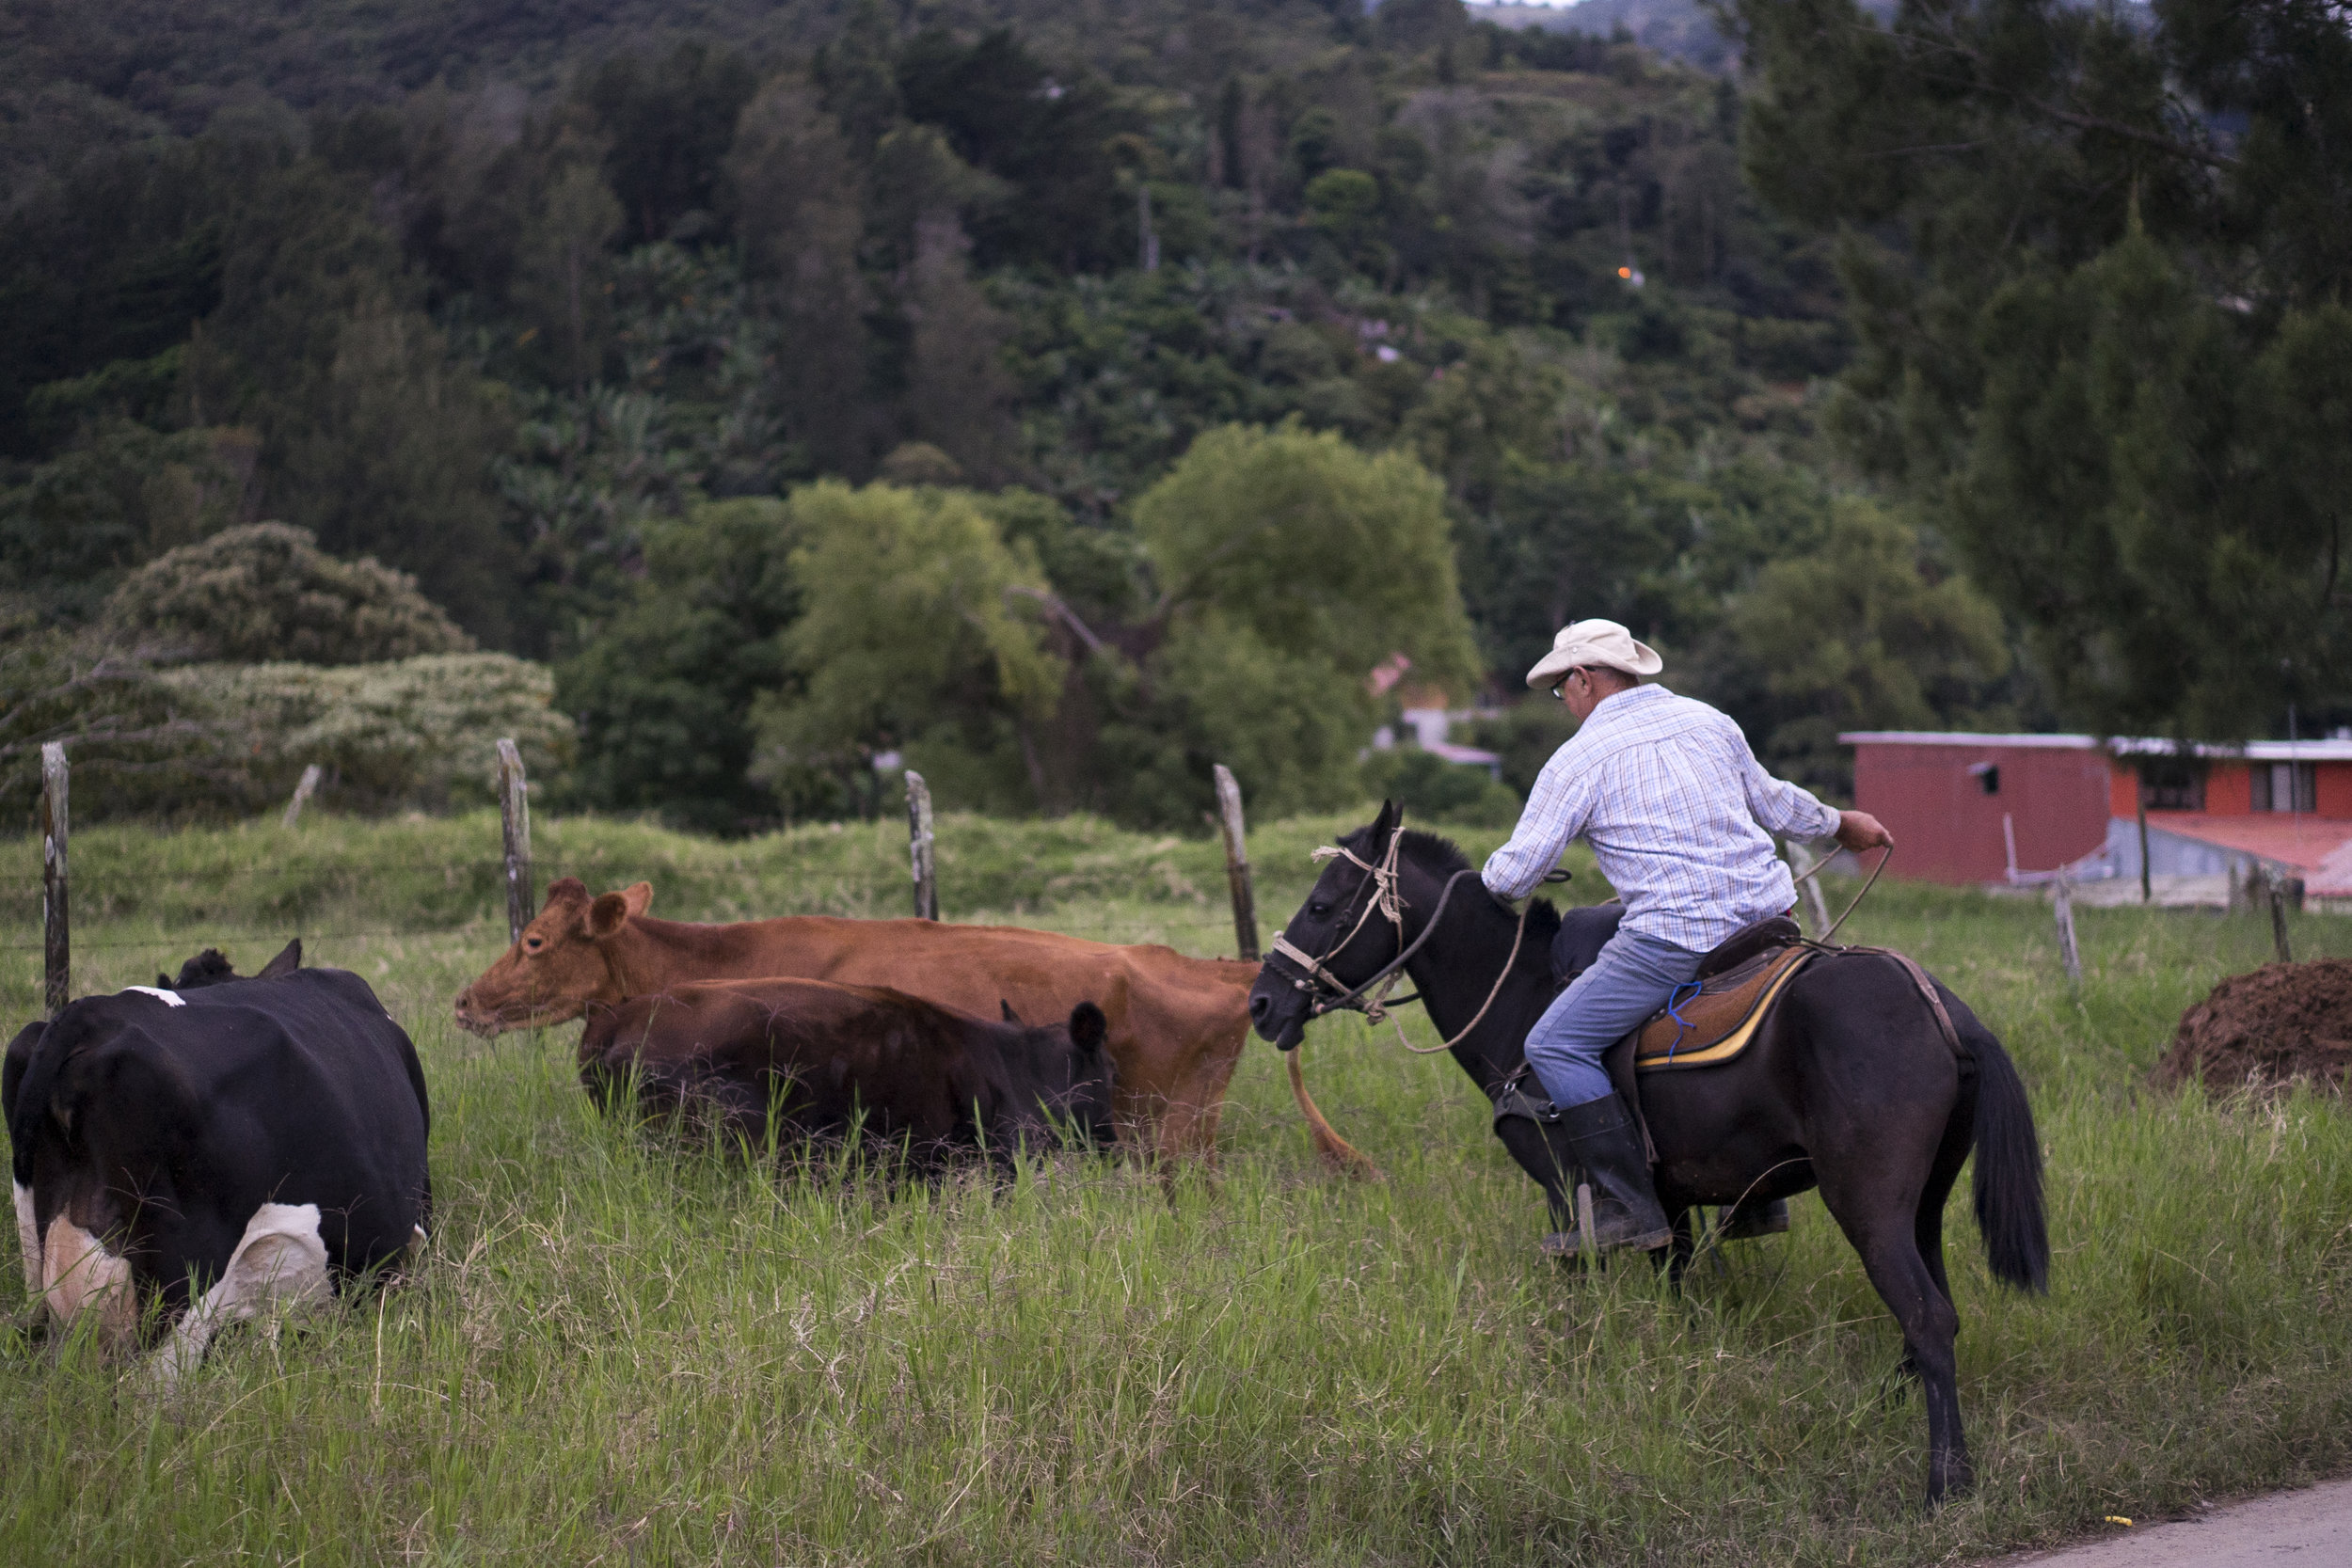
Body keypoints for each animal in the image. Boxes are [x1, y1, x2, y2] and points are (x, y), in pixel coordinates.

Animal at [1242, 808, 2051, 1504]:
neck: (1521, 999)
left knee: (1927, 1316)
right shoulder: (1667, 1202)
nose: (1261, 1003)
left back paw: (1944, 1480)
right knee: (1934, 1310)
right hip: (1925, 1204)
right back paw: (1888, 1407)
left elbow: (1577, 1287)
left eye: (1322, 905)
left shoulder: (1566, 1192)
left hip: (1869, 1204)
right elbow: (1677, 1292)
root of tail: (1944, 1009)